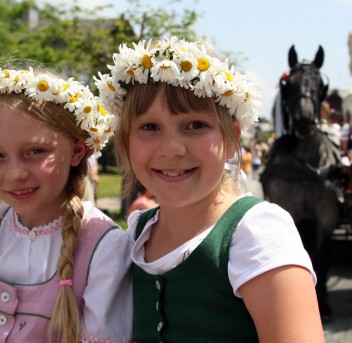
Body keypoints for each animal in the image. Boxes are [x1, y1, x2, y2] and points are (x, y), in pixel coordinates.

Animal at [262, 45, 342, 322]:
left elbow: (323, 255)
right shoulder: (292, 212)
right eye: (290, 85)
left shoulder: (327, 215)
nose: (304, 121)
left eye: (319, 85)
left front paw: (324, 303)